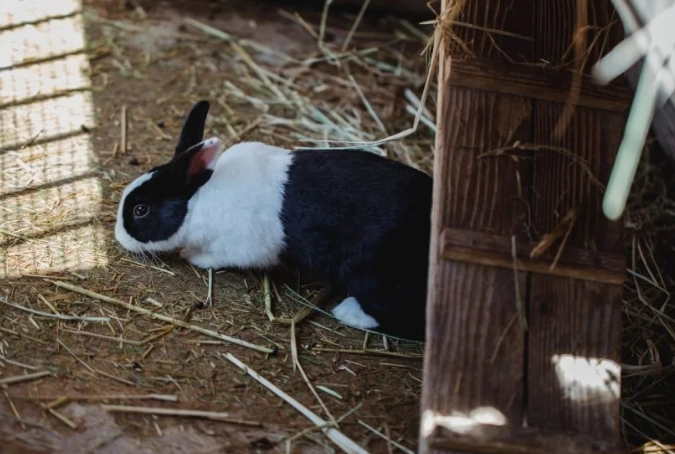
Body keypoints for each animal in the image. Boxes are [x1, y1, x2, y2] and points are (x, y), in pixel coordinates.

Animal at [115, 100, 433, 340]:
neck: (197, 199)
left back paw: (348, 312)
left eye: (140, 210)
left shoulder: (238, 247)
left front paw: (193, 256)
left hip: (375, 276)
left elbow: (215, 257)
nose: (118, 237)